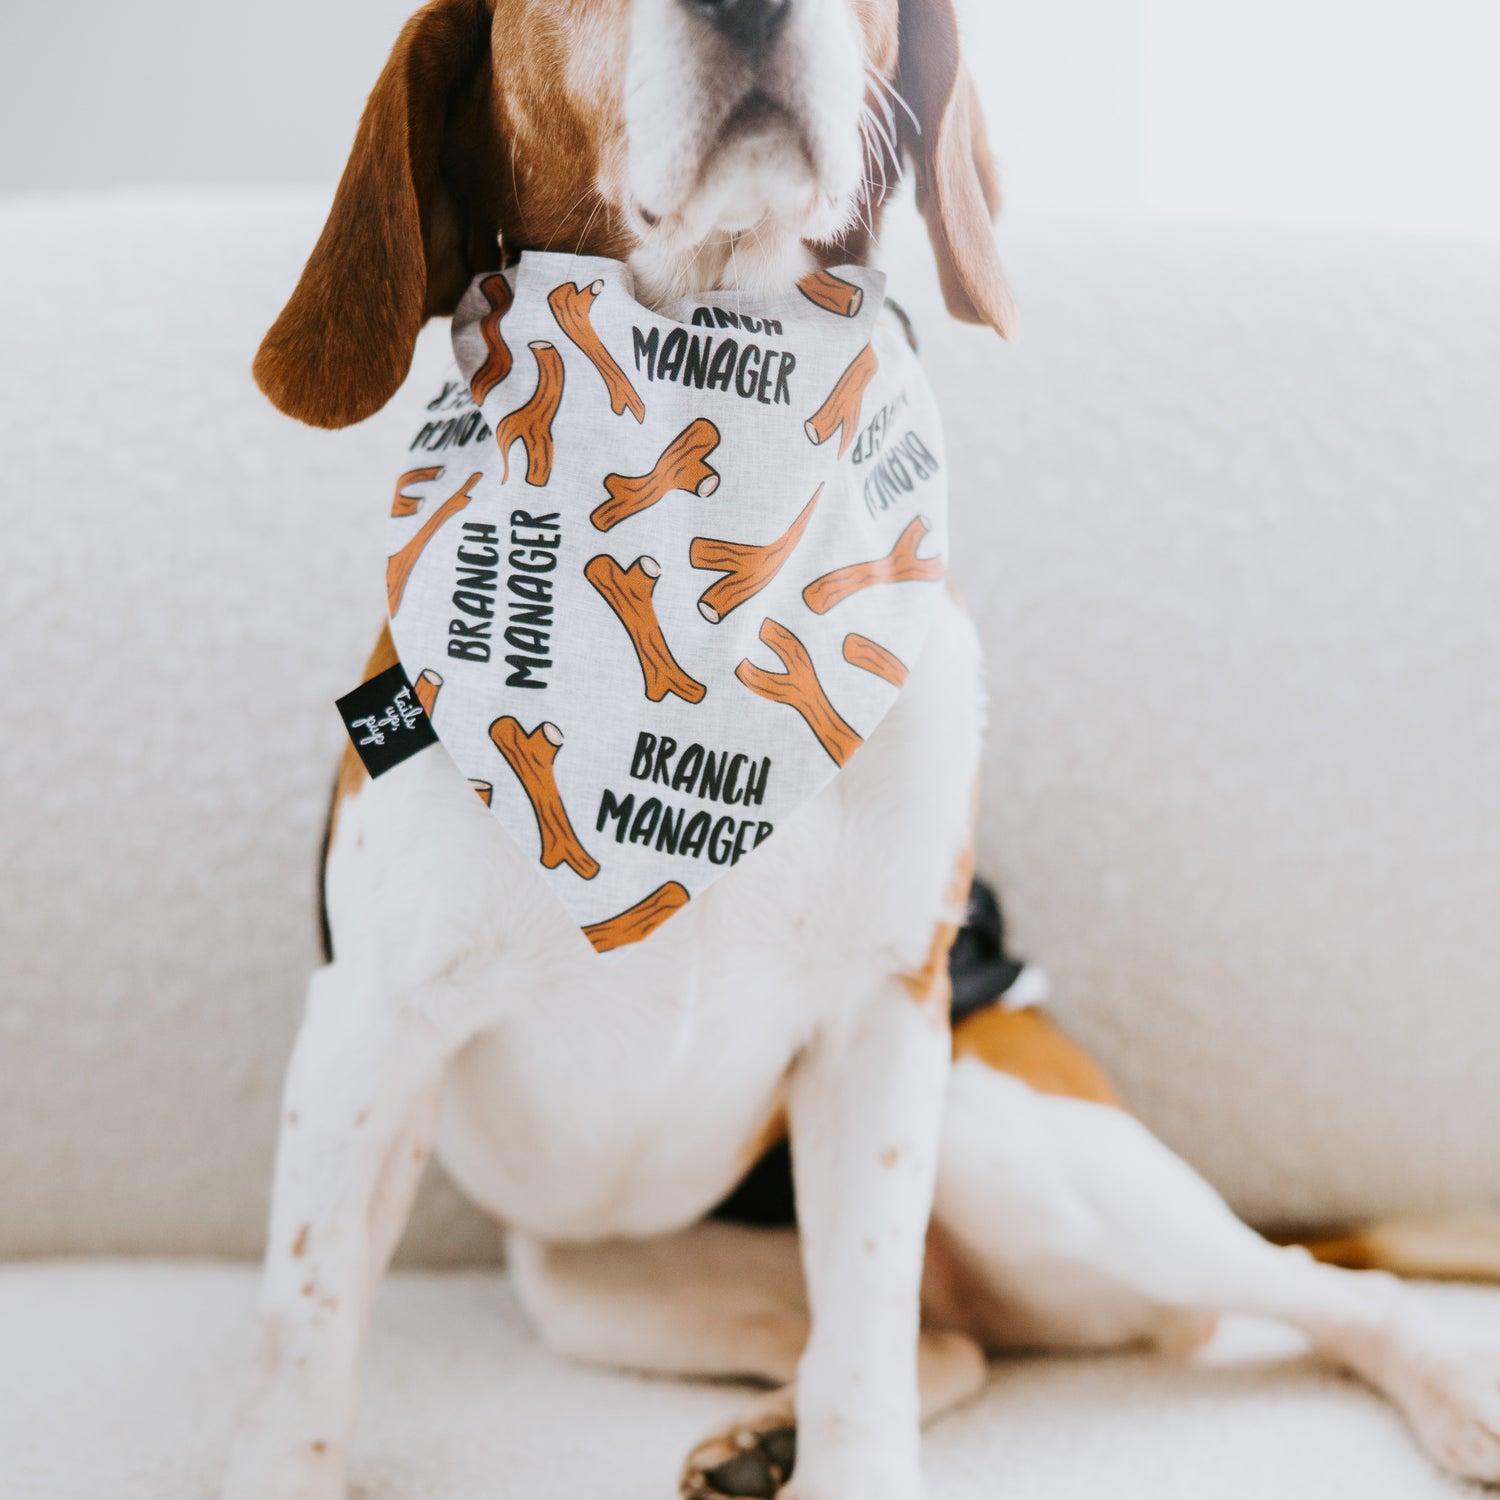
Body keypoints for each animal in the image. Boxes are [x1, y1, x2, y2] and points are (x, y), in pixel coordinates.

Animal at [222, 2, 1500, 1500]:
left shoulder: (884, 1020)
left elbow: (867, 1337)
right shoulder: (372, 1033)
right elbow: (306, 1337)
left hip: (1026, 1149)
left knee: (1309, 1287)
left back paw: (1454, 1387)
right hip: (588, 1279)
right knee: (954, 1347)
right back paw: (761, 1443)